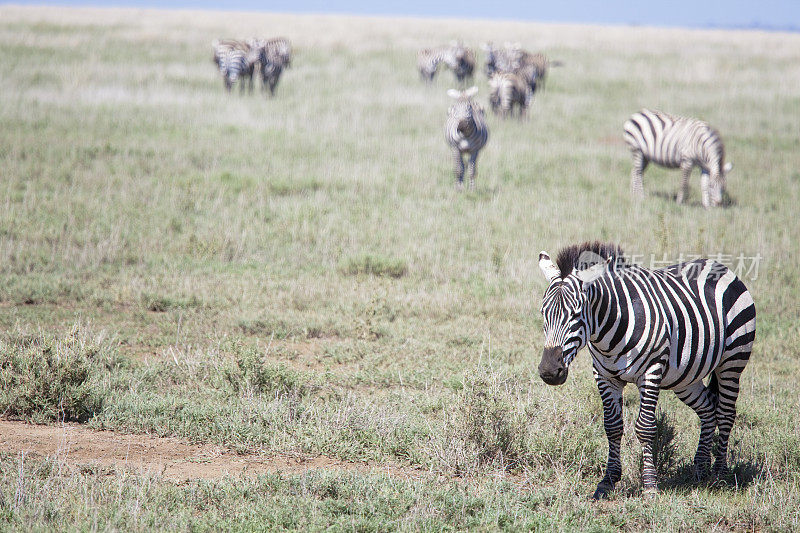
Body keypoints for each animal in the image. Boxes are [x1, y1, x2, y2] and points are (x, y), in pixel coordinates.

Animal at [536, 241, 756, 498]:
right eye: (543, 313)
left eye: (576, 314)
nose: (550, 371)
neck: (609, 333)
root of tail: (716, 264)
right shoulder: (604, 376)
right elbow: (612, 427)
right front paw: (608, 481)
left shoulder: (651, 371)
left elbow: (645, 427)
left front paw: (650, 485)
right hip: (686, 377)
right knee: (708, 409)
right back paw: (701, 469)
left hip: (732, 361)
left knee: (726, 412)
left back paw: (720, 473)